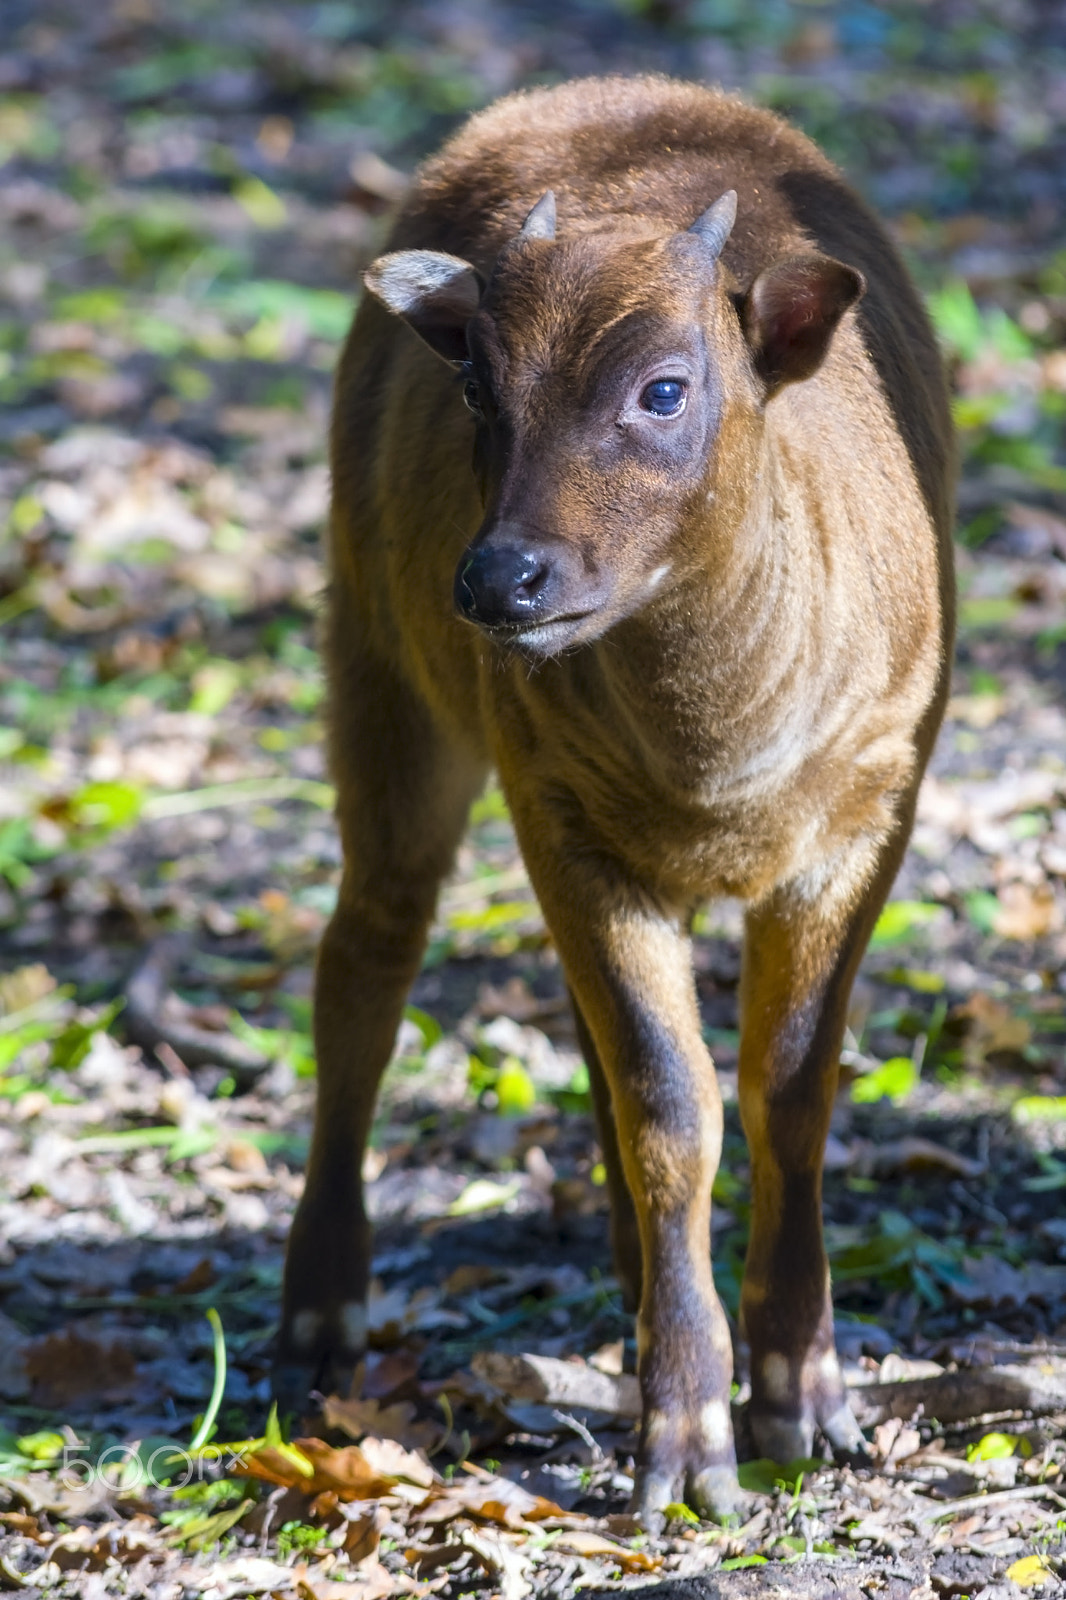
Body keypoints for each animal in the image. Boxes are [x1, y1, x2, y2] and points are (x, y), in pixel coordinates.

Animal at [275, 75, 953, 1516]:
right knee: (365, 962)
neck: (719, 759)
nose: (501, 580)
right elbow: (672, 1110)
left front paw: (801, 1397)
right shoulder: (563, 820)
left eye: (664, 387)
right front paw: (687, 1436)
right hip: (378, 665)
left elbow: (784, 1092)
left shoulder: (867, 817)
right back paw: (319, 1314)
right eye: (480, 383)